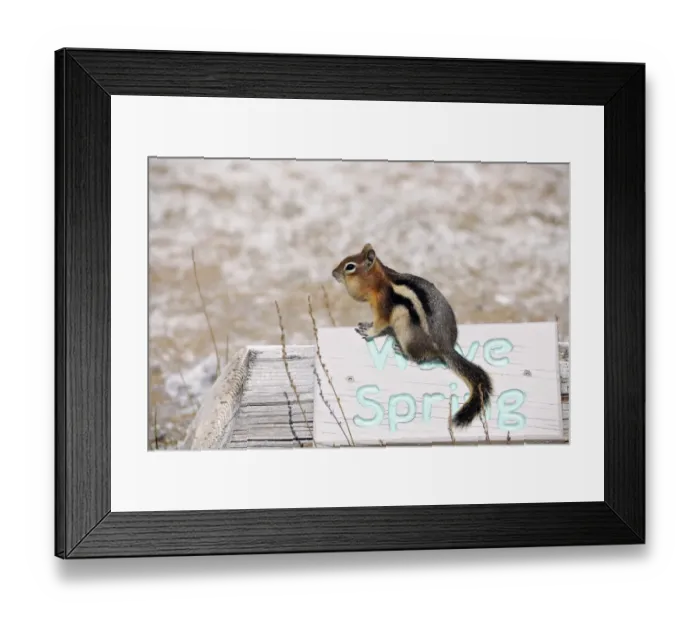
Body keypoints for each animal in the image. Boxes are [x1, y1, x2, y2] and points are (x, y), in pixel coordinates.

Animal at [331, 243, 493, 429]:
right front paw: (366, 325)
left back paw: (402, 352)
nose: (333, 273)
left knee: (419, 358)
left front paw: (368, 331)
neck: (380, 281)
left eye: (350, 266)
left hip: (407, 334)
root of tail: (446, 347)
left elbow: (380, 324)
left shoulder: (382, 306)